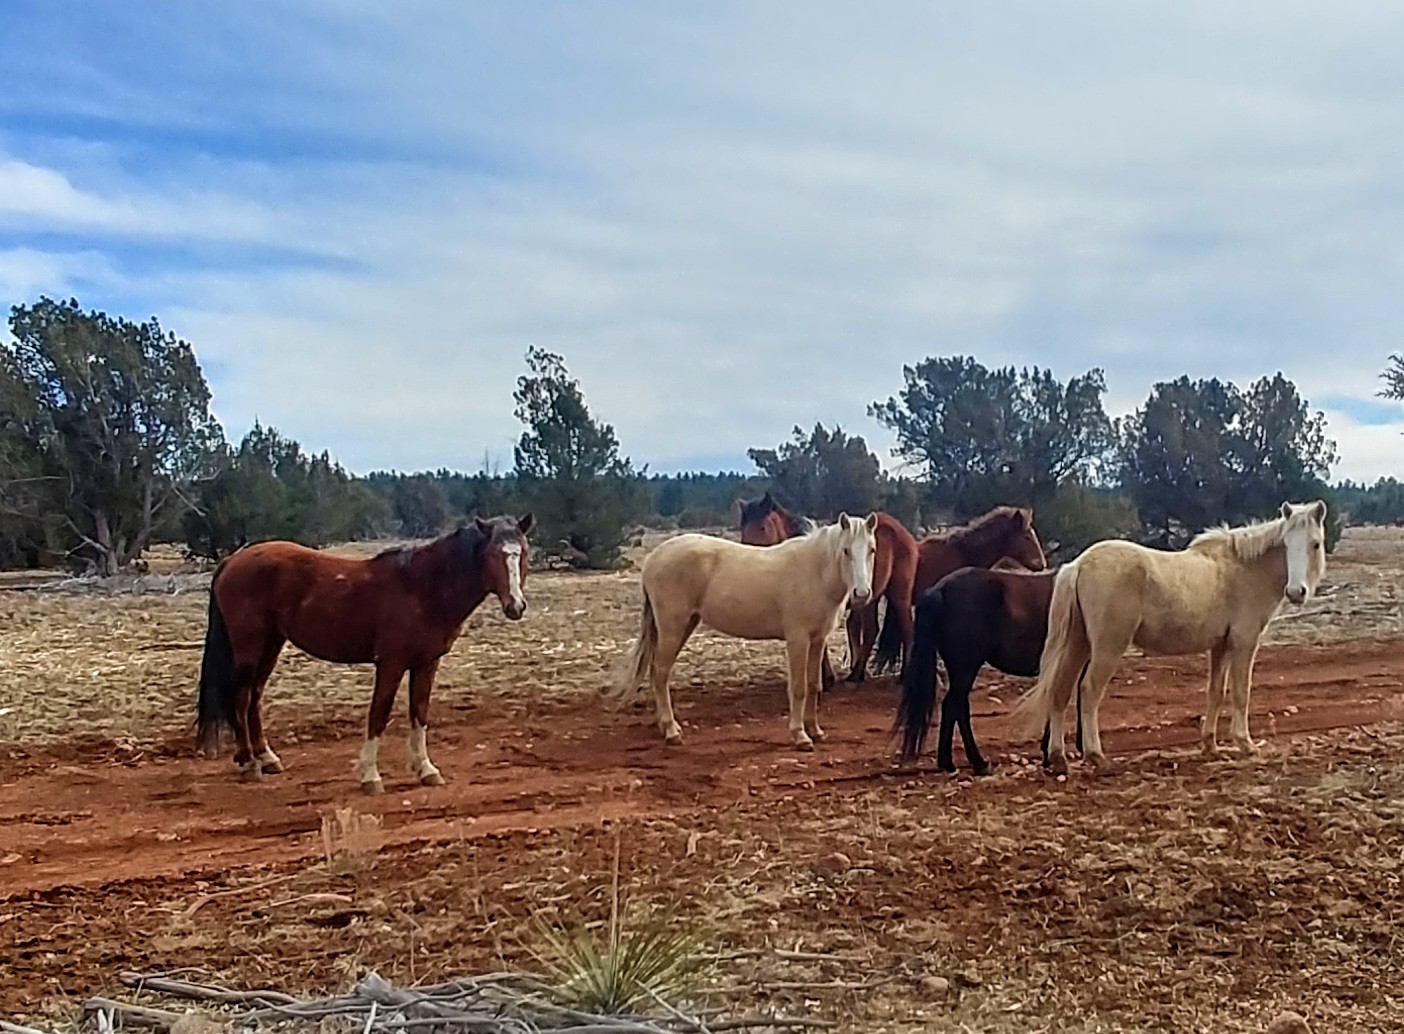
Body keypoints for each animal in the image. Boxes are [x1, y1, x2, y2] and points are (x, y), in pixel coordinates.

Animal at [194, 514, 534, 793]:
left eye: (523, 553)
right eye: (492, 554)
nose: (515, 606)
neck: (422, 587)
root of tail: (232, 561)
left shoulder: (427, 664)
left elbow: (419, 713)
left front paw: (426, 770)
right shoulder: (391, 663)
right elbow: (378, 715)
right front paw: (370, 776)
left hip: (271, 644)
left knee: (254, 696)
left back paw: (267, 758)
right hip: (249, 646)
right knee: (241, 697)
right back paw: (250, 764)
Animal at [613, 513, 878, 750]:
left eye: (872, 550)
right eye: (846, 550)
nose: (862, 594)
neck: (814, 572)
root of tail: (653, 558)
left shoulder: (818, 639)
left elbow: (814, 685)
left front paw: (815, 730)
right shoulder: (798, 639)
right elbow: (799, 688)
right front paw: (800, 736)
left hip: (684, 625)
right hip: (672, 627)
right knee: (660, 673)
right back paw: (671, 731)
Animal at [738, 493, 918, 684]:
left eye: (762, 527)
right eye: (743, 529)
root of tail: (901, 531)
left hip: (897, 596)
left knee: (903, 630)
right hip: (870, 599)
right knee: (867, 630)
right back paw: (857, 672)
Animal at [1015, 501, 1328, 776]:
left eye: (1314, 544)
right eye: (1286, 544)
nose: (1296, 592)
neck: (1243, 569)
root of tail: (1079, 564)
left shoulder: (1220, 646)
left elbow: (1215, 692)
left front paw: (1210, 745)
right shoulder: (1244, 641)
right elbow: (1242, 692)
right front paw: (1246, 744)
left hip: (1078, 644)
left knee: (1061, 691)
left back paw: (1058, 759)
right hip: (1107, 647)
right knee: (1089, 691)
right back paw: (1097, 757)